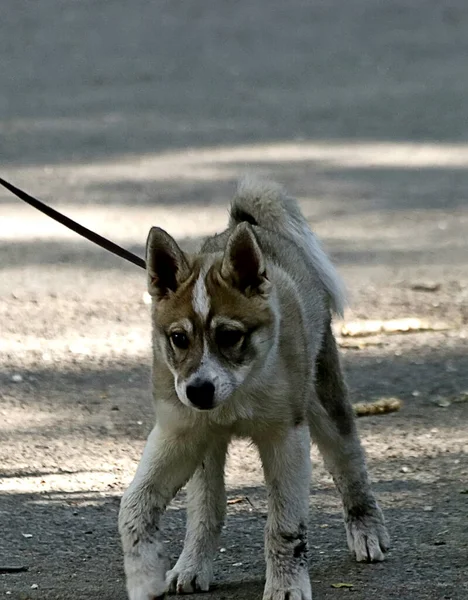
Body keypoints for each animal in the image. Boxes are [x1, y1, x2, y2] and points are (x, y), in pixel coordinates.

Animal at [119, 178, 390, 600]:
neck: (238, 393)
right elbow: (135, 506)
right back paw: (192, 564)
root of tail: (245, 225)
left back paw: (367, 529)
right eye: (179, 338)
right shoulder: (178, 434)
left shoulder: (285, 439)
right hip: (206, 449)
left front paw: (286, 586)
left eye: (230, 336)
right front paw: (144, 576)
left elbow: (284, 527)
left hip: (326, 403)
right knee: (207, 507)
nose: (198, 392)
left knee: (350, 464)